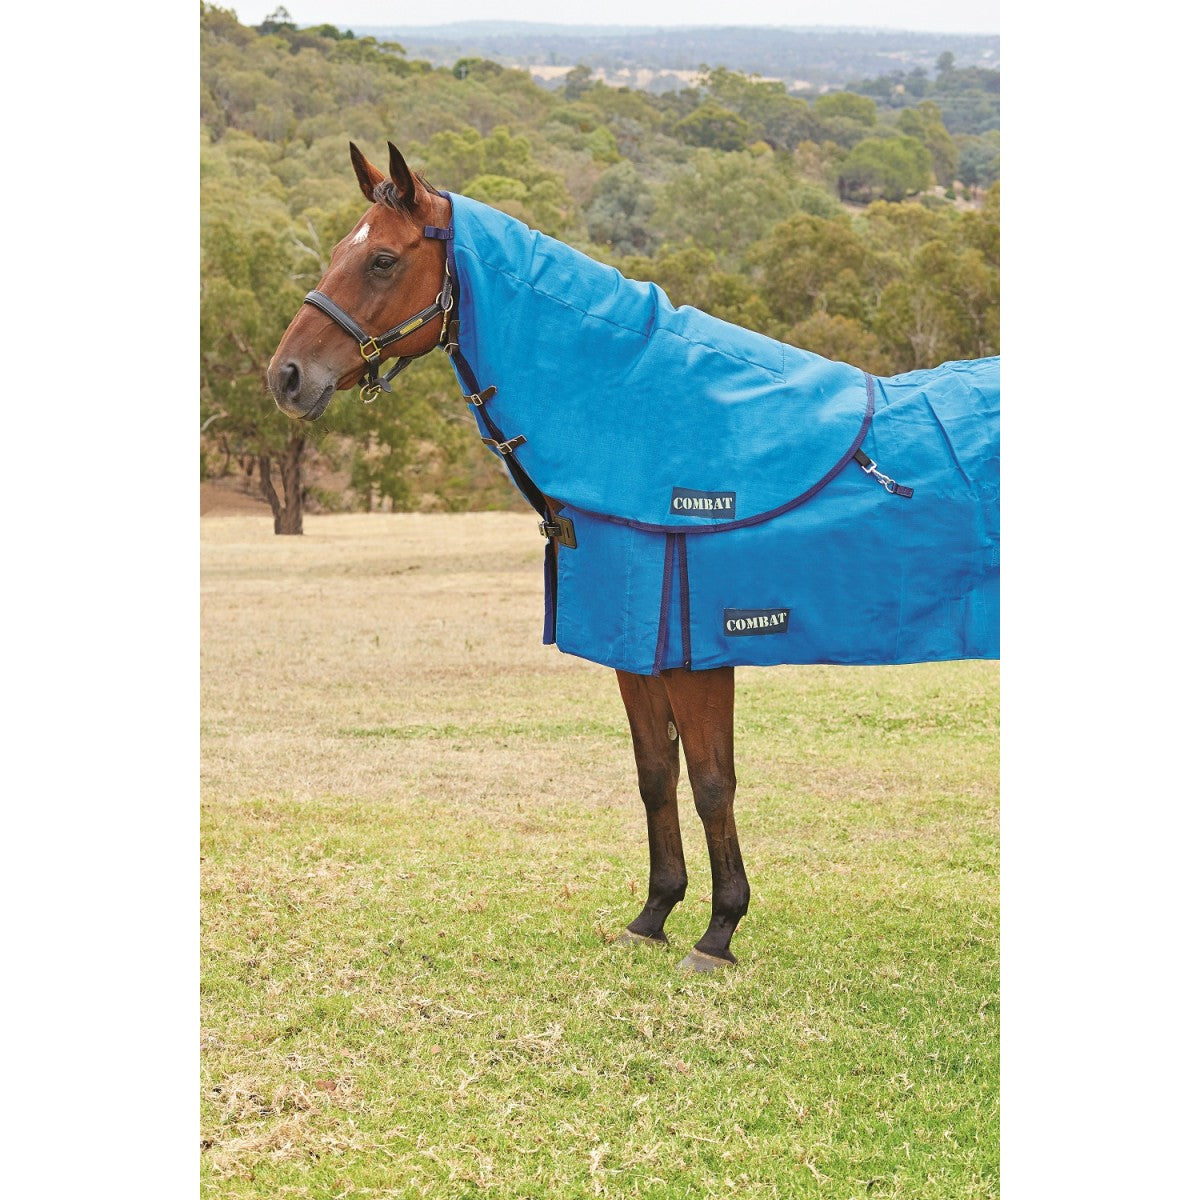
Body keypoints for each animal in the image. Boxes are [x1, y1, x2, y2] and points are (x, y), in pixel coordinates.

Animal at [267, 142, 1000, 973]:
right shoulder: (633, 649)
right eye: (338, 250)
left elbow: (712, 782)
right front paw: (655, 913)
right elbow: (656, 775)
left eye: (383, 259)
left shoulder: (694, 650)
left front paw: (719, 931)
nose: (285, 377)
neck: (643, 412)